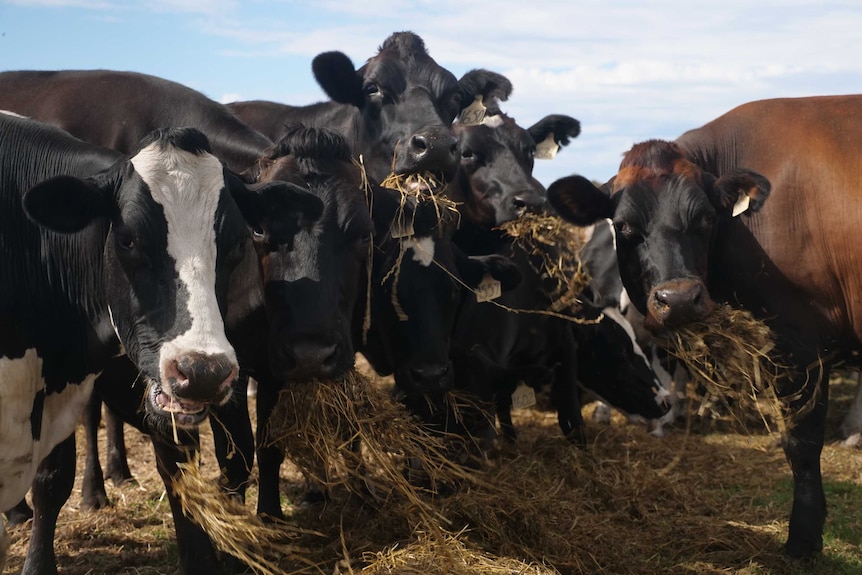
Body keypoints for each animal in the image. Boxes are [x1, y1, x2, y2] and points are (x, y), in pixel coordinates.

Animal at [548, 94, 862, 560]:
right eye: (623, 226)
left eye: (706, 220)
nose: (678, 299)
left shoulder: (800, 346)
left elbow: (801, 444)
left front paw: (803, 540)